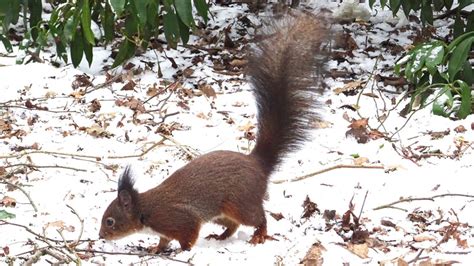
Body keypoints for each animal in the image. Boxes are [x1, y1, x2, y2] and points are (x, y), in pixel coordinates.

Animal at [99, 14, 330, 251]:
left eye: (110, 221)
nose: (101, 236)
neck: (144, 210)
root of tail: (258, 164)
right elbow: (163, 240)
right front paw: (155, 249)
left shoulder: (177, 219)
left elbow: (188, 234)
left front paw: (183, 251)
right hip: (220, 213)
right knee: (233, 225)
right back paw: (221, 236)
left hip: (239, 202)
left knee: (257, 218)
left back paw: (259, 234)